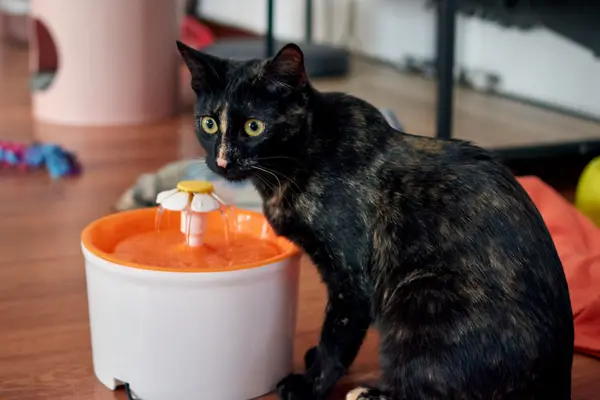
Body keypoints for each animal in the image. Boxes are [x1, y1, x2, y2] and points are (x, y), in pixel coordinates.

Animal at [176, 41, 576, 400]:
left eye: (254, 127)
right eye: (208, 124)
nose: (223, 161)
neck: (307, 153)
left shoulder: (352, 280)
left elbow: (337, 336)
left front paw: (308, 385)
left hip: (420, 297)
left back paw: (370, 394)